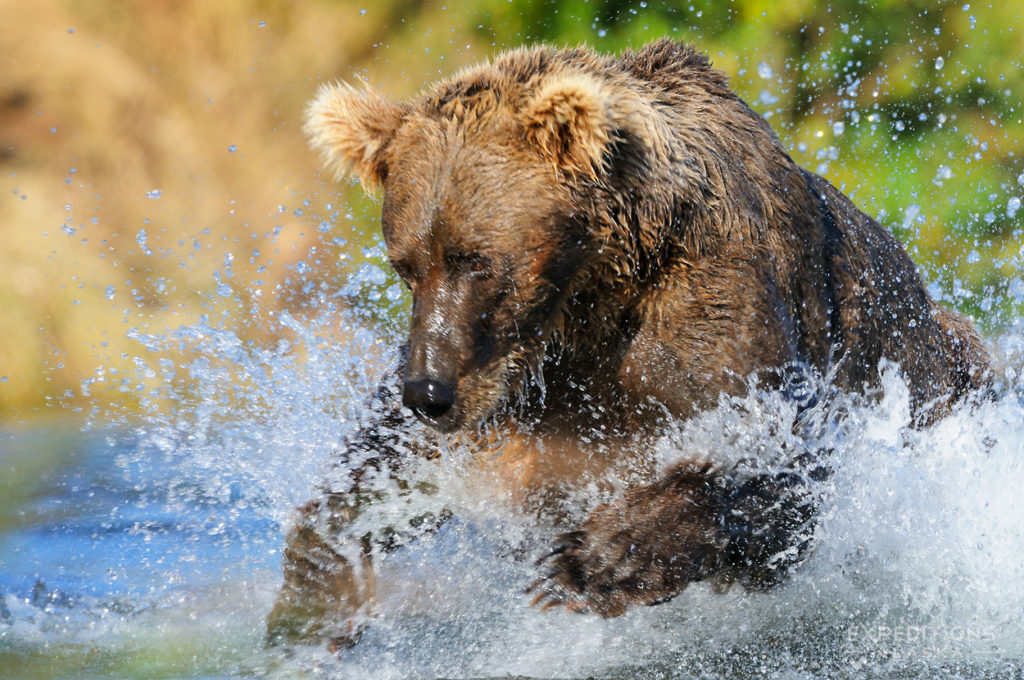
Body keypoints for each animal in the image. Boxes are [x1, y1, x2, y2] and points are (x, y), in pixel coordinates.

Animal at [266, 39, 991, 651]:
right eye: (405, 265)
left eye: (477, 260)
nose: (427, 391)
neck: (598, 290)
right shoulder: (521, 376)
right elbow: (391, 470)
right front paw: (311, 598)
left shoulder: (714, 314)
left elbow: (775, 469)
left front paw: (586, 562)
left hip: (938, 372)